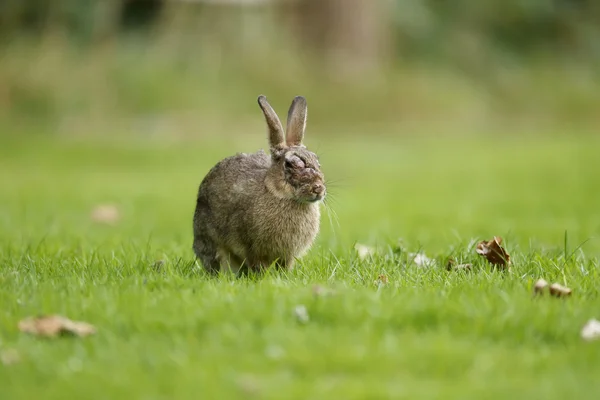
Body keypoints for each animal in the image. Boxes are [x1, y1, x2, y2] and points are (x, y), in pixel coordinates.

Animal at [192, 95, 326, 276]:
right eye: (290, 164)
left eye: (317, 162)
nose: (318, 188)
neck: (279, 193)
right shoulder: (252, 247)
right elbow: (257, 263)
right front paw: (263, 277)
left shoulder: (287, 255)